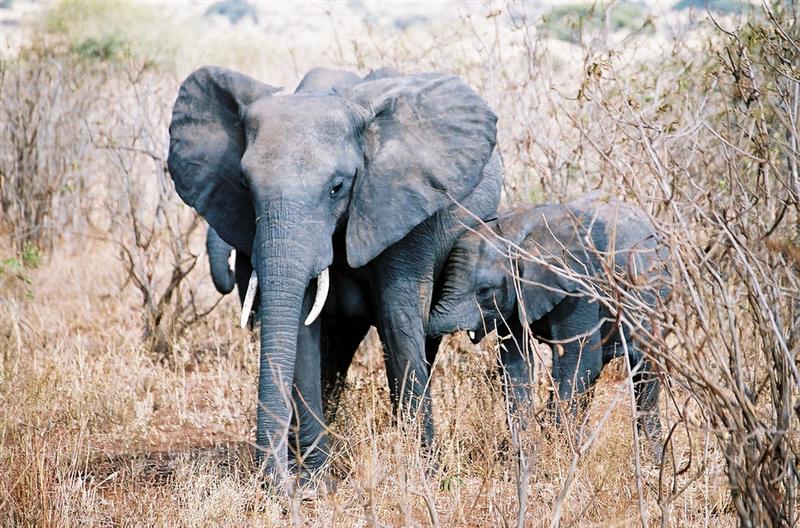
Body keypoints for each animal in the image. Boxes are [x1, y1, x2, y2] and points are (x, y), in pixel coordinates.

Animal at [168, 65, 503, 483]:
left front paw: (424, 474)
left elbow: (398, 319)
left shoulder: (399, 206)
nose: (275, 484)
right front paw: (316, 482)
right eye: (245, 186)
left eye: (337, 188)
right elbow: (301, 328)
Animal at [427, 195, 669, 454]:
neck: (516, 233)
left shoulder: (580, 286)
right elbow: (516, 363)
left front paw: (556, 449)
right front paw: (525, 449)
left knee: (645, 371)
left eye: (483, 291)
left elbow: (577, 362)